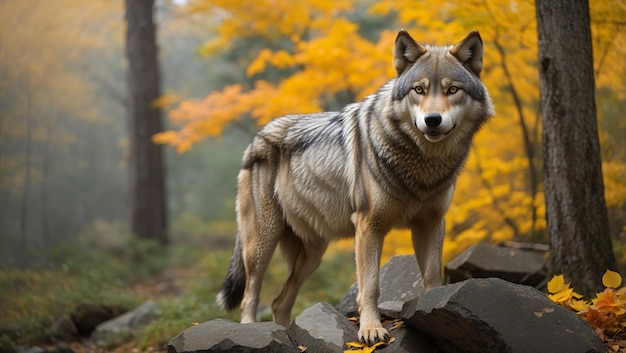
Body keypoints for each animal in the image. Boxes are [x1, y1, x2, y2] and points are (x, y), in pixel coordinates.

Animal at [214, 30, 492, 344]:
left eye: (452, 90)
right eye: (419, 90)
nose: (432, 120)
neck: (423, 164)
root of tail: (256, 137)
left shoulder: (431, 223)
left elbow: (432, 276)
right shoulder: (369, 226)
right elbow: (370, 286)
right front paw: (371, 329)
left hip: (312, 256)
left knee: (278, 302)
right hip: (261, 245)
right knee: (250, 296)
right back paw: (251, 331)